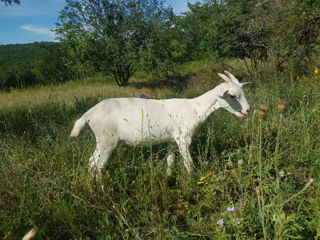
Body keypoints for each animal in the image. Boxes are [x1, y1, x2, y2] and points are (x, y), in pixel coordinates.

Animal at [70, 70, 250, 179]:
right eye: (232, 96)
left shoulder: (172, 140)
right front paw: (191, 180)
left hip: (102, 141)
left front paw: (168, 178)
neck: (194, 108)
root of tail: (88, 115)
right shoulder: (183, 139)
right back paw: (101, 189)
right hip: (107, 141)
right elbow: (188, 162)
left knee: (91, 162)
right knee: (98, 165)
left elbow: (170, 160)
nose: (247, 110)